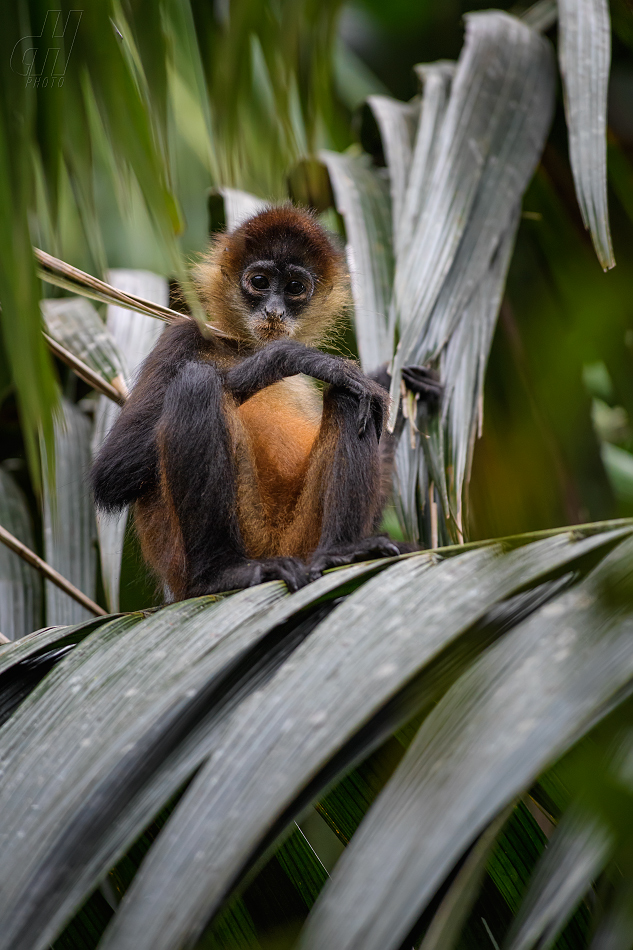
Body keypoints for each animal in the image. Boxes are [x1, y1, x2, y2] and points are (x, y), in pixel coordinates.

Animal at [91, 206, 442, 604]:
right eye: (259, 281)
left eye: (294, 288)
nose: (274, 311)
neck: (243, 346)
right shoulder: (182, 335)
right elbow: (113, 474)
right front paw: (288, 358)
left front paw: (399, 379)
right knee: (196, 383)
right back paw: (220, 575)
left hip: (301, 538)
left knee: (350, 397)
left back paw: (344, 552)